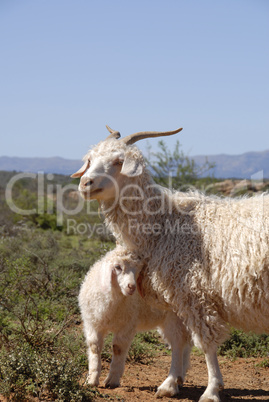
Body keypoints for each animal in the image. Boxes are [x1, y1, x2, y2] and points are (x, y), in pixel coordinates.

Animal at [77, 243, 191, 398]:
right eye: (117, 267)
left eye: (138, 269)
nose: (131, 287)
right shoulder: (93, 324)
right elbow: (94, 347)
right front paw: (92, 380)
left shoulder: (127, 325)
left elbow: (118, 348)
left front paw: (112, 380)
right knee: (185, 347)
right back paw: (180, 379)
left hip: (175, 320)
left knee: (178, 345)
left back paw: (171, 384)